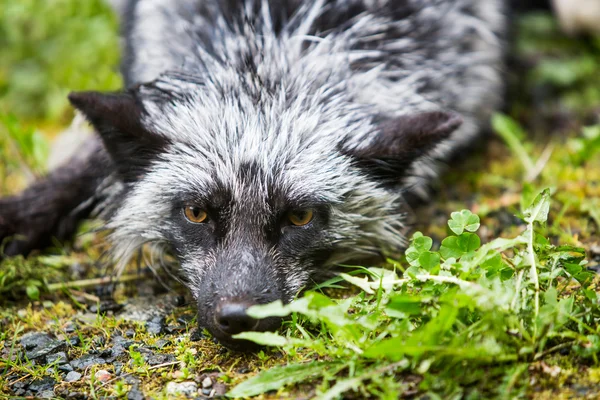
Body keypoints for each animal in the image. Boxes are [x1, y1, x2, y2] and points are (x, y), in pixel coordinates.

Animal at [0, 0, 506, 346]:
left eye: (300, 217)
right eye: (196, 212)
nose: (240, 318)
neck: (275, 41)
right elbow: (92, 160)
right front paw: (27, 212)